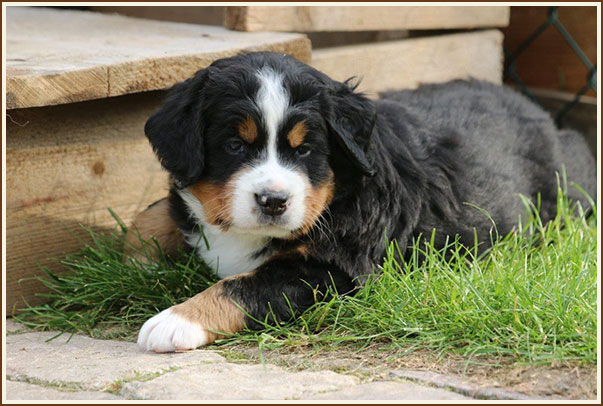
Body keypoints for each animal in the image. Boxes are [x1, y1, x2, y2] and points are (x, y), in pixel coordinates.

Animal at [130, 52, 596, 353]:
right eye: (234, 146)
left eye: (305, 150)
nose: (273, 201)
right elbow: (155, 213)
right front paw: (134, 255)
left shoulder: (332, 269)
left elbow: (243, 285)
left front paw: (175, 321)